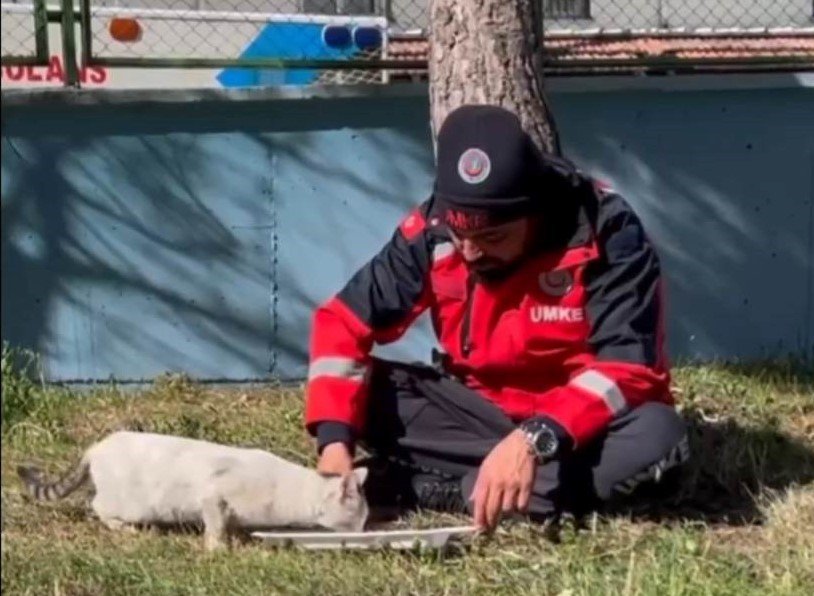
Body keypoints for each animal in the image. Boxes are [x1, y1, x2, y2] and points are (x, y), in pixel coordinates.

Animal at [17, 428, 368, 548]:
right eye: (360, 520)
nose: (366, 531)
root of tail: (96, 447)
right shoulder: (213, 494)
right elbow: (215, 525)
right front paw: (217, 548)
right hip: (130, 503)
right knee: (97, 506)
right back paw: (124, 528)